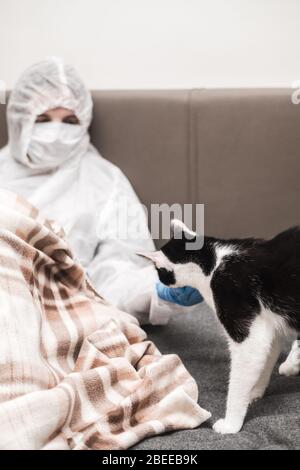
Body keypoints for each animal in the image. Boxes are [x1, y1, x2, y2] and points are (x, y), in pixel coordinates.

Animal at [139, 220, 300, 434]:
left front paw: (231, 424)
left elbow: (240, 379)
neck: (213, 262)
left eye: (159, 272)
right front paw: (255, 392)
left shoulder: (246, 331)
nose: (160, 282)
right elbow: (266, 361)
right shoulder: (268, 327)